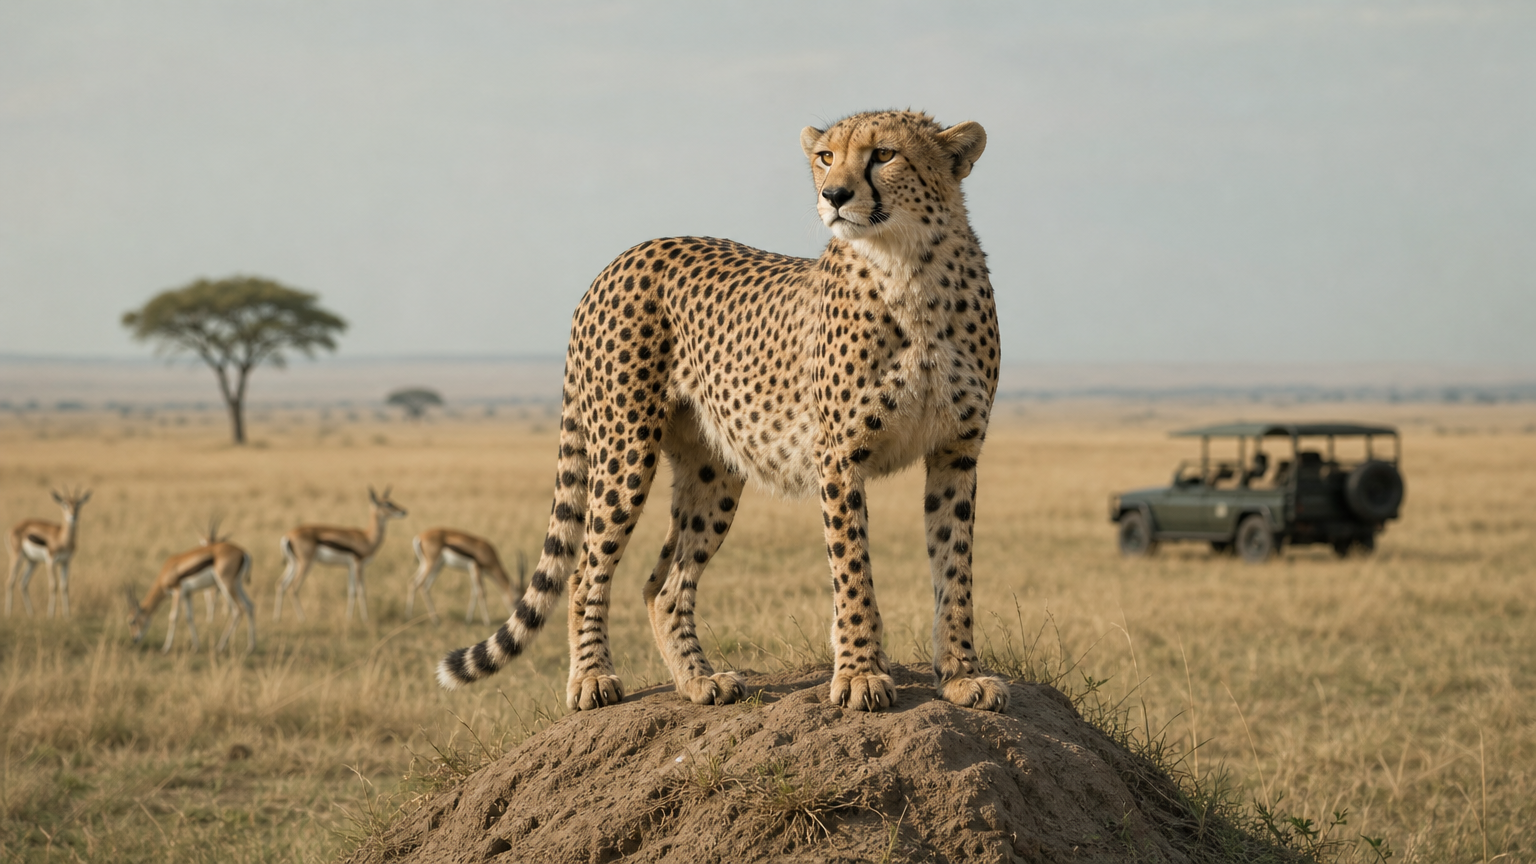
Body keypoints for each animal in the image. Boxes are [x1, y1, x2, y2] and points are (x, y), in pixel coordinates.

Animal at [438, 109, 1009, 714]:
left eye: (883, 154)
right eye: (827, 157)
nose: (833, 195)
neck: (910, 267)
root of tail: (623, 257)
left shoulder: (956, 453)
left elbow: (955, 569)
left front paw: (961, 676)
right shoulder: (839, 456)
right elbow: (852, 569)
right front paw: (859, 674)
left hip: (714, 469)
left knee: (662, 584)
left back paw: (697, 681)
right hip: (625, 451)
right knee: (586, 570)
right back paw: (591, 678)